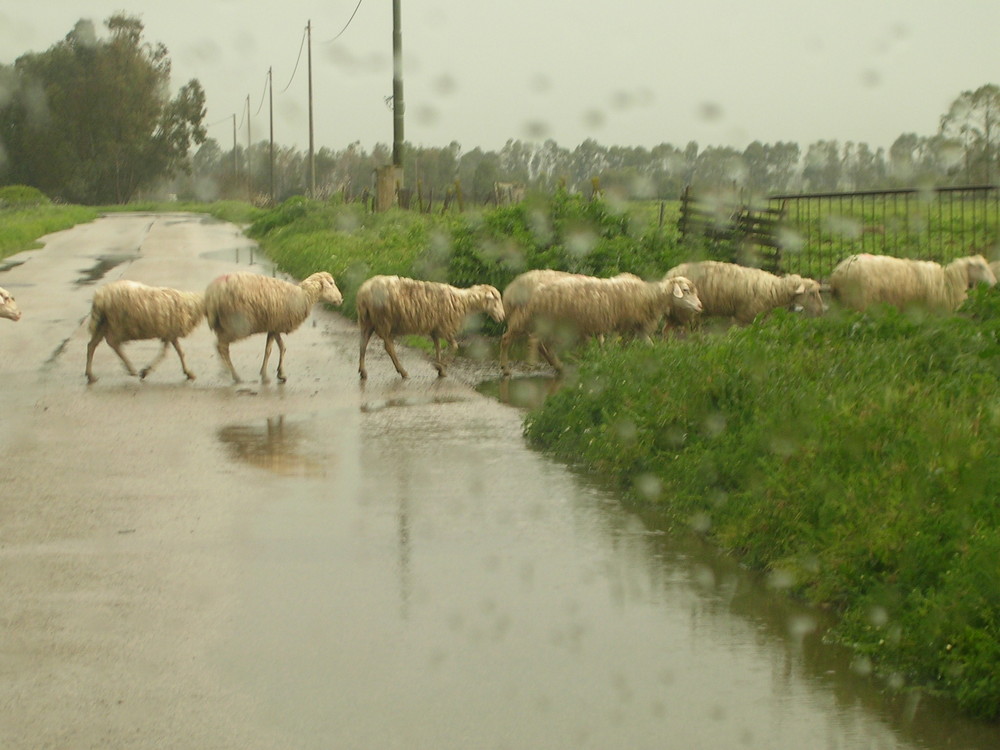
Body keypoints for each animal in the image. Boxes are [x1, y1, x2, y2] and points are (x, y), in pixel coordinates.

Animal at [203, 272, 344, 384]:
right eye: (331, 283)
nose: (341, 299)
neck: (303, 296)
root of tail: (213, 294)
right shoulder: (276, 325)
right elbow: (278, 349)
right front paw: (276, 374)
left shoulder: (274, 326)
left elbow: (273, 349)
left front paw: (270, 373)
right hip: (236, 324)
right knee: (222, 347)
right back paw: (235, 376)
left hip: (223, 324)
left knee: (219, 346)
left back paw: (224, 370)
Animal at [356, 274, 504, 382]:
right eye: (495, 299)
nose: (502, 316)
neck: (463, 302)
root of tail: (364, 291)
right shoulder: (445, 327)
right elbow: (454, 346)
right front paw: (440, 366)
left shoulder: (436, 328)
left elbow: (438, 347)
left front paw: (440, 368)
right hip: (384, 320)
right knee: (388, 347)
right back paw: (403, 371)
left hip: (367, 320)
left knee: (363, 344)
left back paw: (363, 371)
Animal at [500, 274, 704, 376]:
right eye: (685, 290)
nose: (700, 306)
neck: (649, 296)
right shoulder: (619, 325)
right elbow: (615, 345)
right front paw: (612, 360)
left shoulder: (635, 327)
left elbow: (649, 345)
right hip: (546, 320)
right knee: (530, 340)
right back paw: (521, 365)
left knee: (536, 342)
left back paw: (555, 366)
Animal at [664, 262, 828, 326]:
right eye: (812, 293)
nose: (821, 311)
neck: (774, 289)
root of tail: (670, 274)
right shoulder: (743, 316)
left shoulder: (760, 317)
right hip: (686, 312)